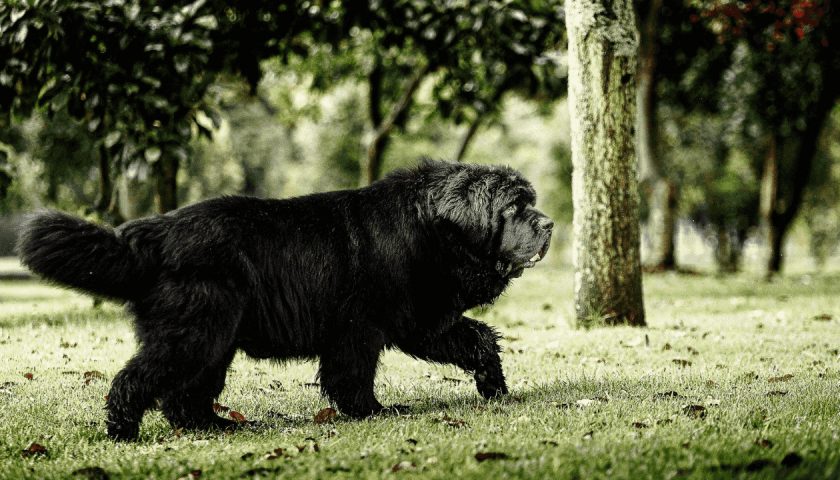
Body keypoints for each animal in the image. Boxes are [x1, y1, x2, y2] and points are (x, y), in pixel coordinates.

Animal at [16, 159, 556, 440]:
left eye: (530, 203)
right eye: (515, 208)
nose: (549, 224)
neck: (432, 227)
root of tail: (156, 233)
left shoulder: (422, 319)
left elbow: (478, 340)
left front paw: (494, 387)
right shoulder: (360, 328)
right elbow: (352, 376)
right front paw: (374, 412)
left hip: (214, 338)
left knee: (184, 395)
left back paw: (217, 426)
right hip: (194, 331)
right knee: (138, 379)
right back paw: (123, 431)